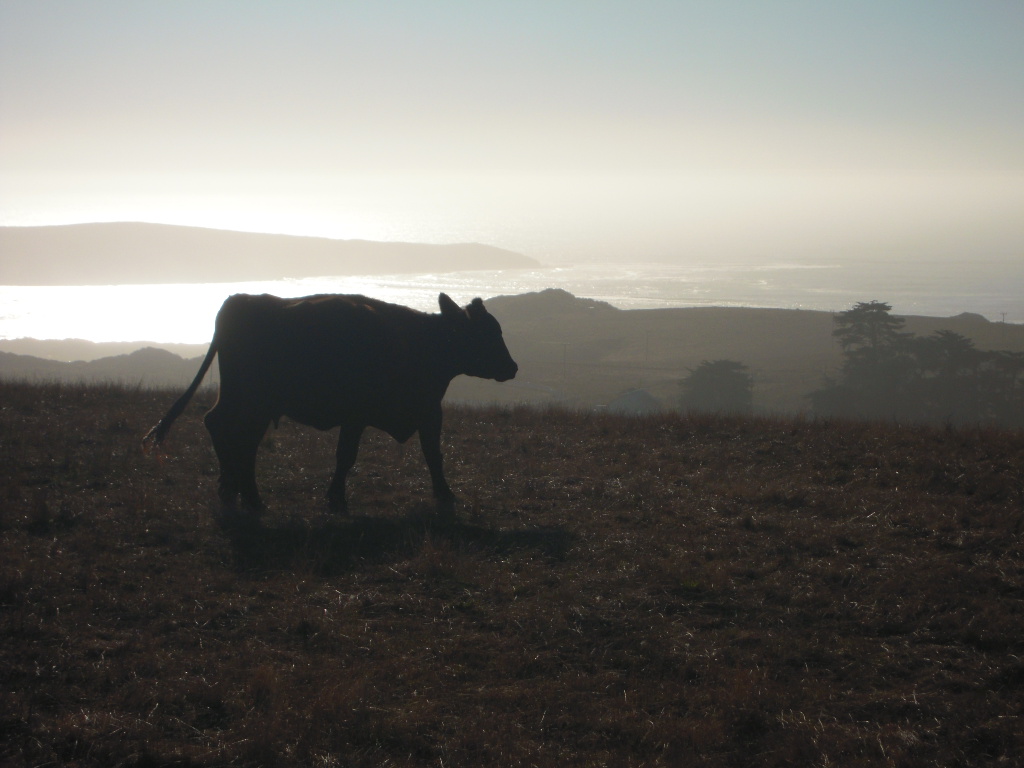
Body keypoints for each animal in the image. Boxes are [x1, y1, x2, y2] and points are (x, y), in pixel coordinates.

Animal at [143, 292, 518, 514]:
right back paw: (249, 496)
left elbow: (433, 454)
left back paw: (230, 488)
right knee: (239, 439)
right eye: (488, 333)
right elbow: (347, 456)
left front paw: (444, 492)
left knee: (219, 426)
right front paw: (336, 497)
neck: (423, 343)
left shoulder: (428, 411)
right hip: (255, 403)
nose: (512, 367)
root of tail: (241, 300)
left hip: (241, 398)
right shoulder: (362, 415)